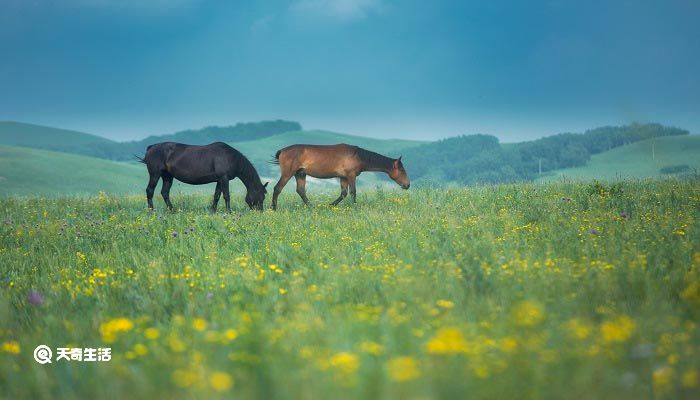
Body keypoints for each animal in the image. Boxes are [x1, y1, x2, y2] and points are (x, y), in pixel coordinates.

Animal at [137, 143, 268, 212]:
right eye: (261, 196)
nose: (260, 212)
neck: (231, 158)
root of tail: (151, 147)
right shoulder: (224, 178)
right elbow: (226, 196)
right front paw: (229, 212)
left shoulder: (219, 180)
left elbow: (216, 196)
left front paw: (213, 211)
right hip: (155, 174)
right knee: (150, 191)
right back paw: (151, 210)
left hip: (167, 176)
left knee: (165, 192)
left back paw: (172, 210)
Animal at [270, 145, 410, 211]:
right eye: (402, 170)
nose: (408, 185)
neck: (358, 156)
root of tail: (282, 151)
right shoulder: (351, 176)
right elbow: (353, 192)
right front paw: (354, 207)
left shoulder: (343, 177)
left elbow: (343, 193)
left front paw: (330, 205)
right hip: (288, 173)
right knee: (277, 188)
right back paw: (273, 208)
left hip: (300, 174)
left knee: (301, 191)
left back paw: (312, 207)